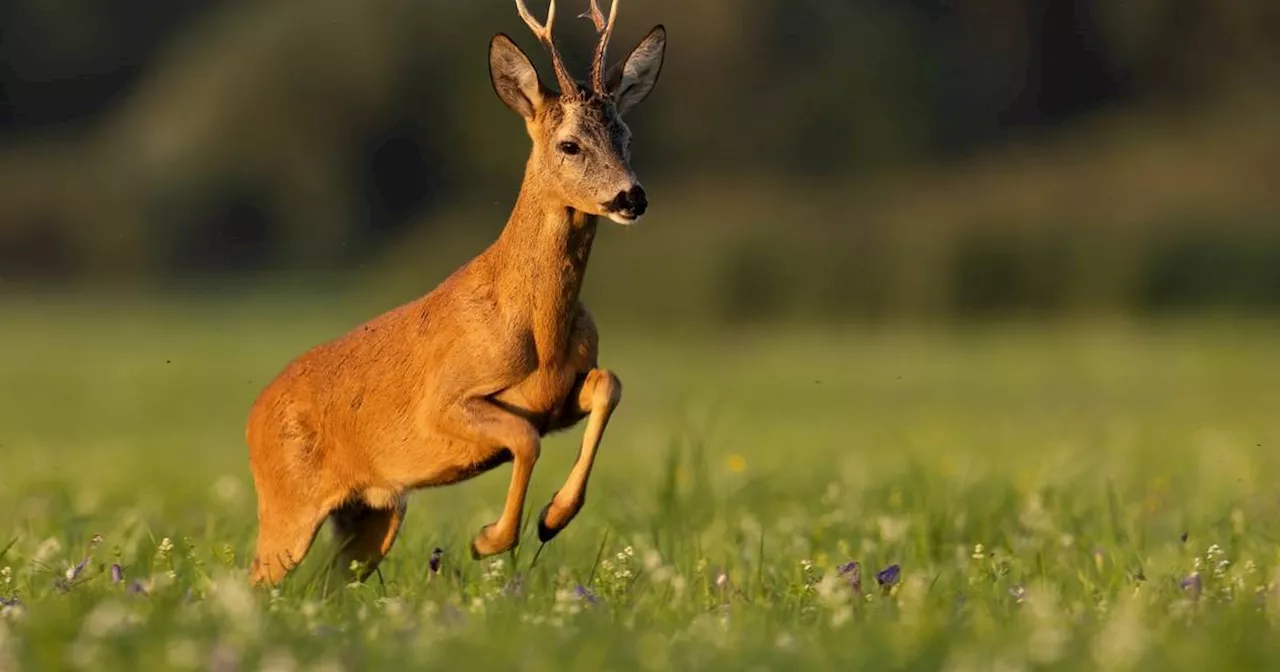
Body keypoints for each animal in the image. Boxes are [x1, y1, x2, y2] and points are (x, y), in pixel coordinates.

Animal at [247, 0, 670, 586]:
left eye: (626, 137)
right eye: (569, 143)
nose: (632, 197)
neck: (539, 328)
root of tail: (254, 419)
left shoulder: (559, 400)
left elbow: (609, 384)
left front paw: (554, 517)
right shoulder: (445, 402)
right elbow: (524, 438)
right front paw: (490, 539)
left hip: (373, 513)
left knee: (328, 584)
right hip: (288, 507)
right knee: (252, 580)